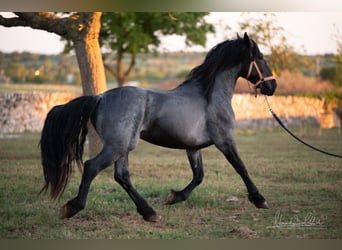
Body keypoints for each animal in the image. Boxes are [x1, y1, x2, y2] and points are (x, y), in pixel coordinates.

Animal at [40, 32, 276, 222]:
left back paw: (149, 212)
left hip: (123, 147)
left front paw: (174, 197)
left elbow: (198, 175)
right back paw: (72, 207)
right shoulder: (224, 140)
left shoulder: (193, 147)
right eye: (260, 57)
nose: (272, 86)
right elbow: (240, 167)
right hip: (117, 146)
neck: (209, 96)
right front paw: (259, 199)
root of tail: (100, 97)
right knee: (92, 167)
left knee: (122, 176)